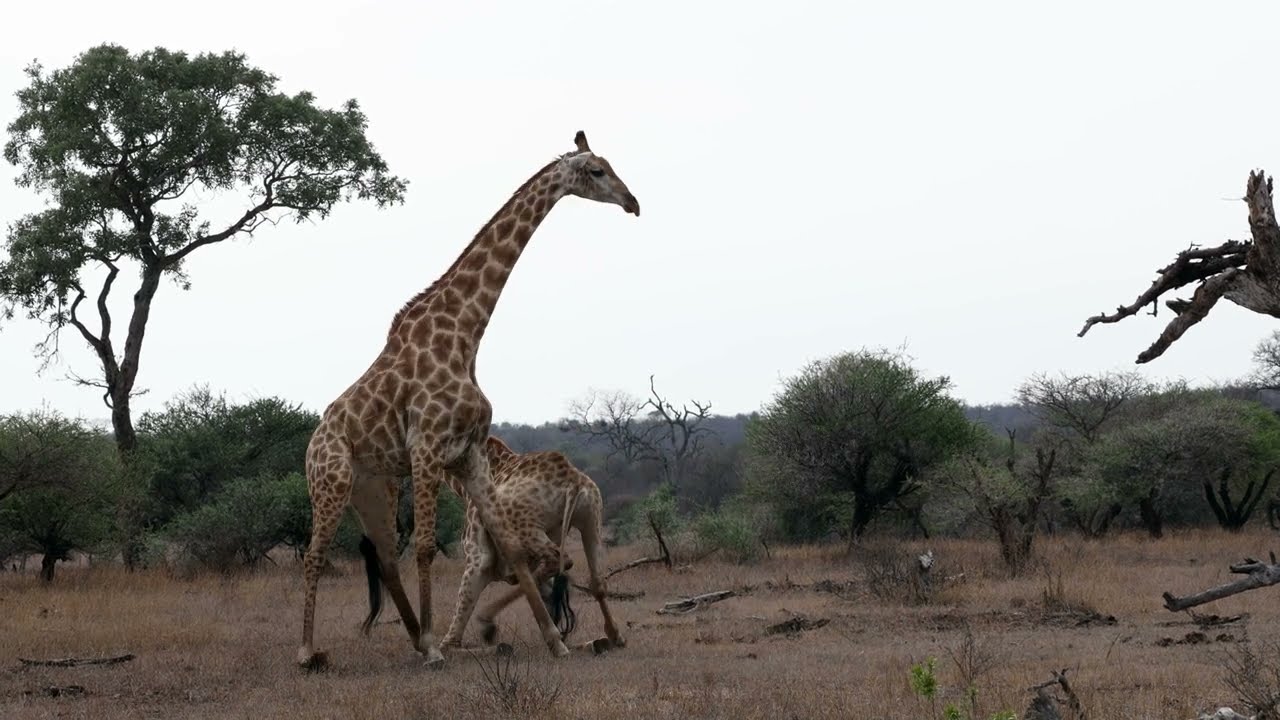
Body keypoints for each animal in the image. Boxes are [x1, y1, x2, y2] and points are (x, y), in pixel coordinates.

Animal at [430, 436, 624, 651]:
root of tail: (572, 479)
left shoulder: (478, 557)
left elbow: (458, 621)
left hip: (525, 526)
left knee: (559, 561)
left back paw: (487, 621)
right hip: (590, 516)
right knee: (597, 581)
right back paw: (614, 636)